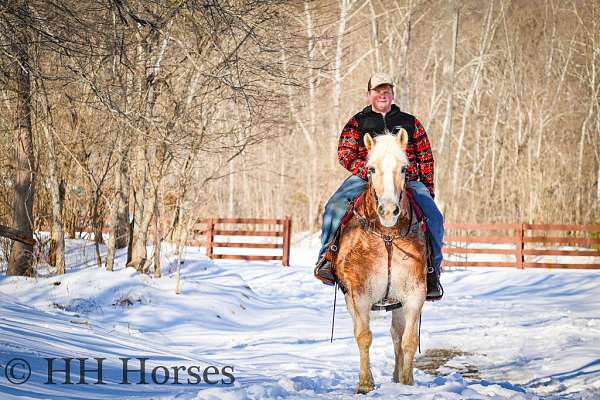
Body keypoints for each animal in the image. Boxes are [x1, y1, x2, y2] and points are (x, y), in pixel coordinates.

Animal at [336, 129, 428, 394]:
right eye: (371, 169)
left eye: (404, 169)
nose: (388, 210)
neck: (386, 237)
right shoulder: (358, 294)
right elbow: (363, 336)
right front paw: (365, 384)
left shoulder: (415, 294)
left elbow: (409, 340)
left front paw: (407, 382)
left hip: (397, 302)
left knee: (397, 334)